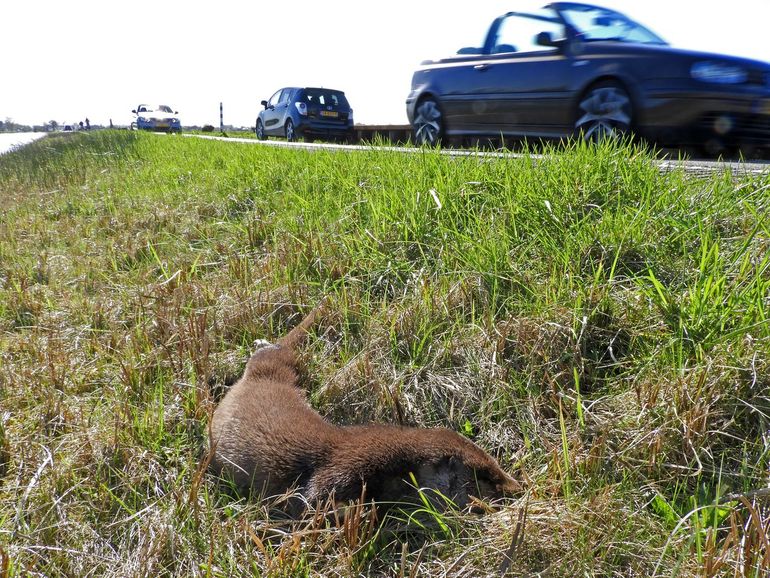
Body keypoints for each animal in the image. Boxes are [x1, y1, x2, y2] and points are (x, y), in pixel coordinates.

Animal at [210, 304, 520, 510]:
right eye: (487, 475)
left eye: (498, 465)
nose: (517, 489)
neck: (397, 464)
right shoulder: (347, 465)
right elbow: (314, 497)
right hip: (273, 365)